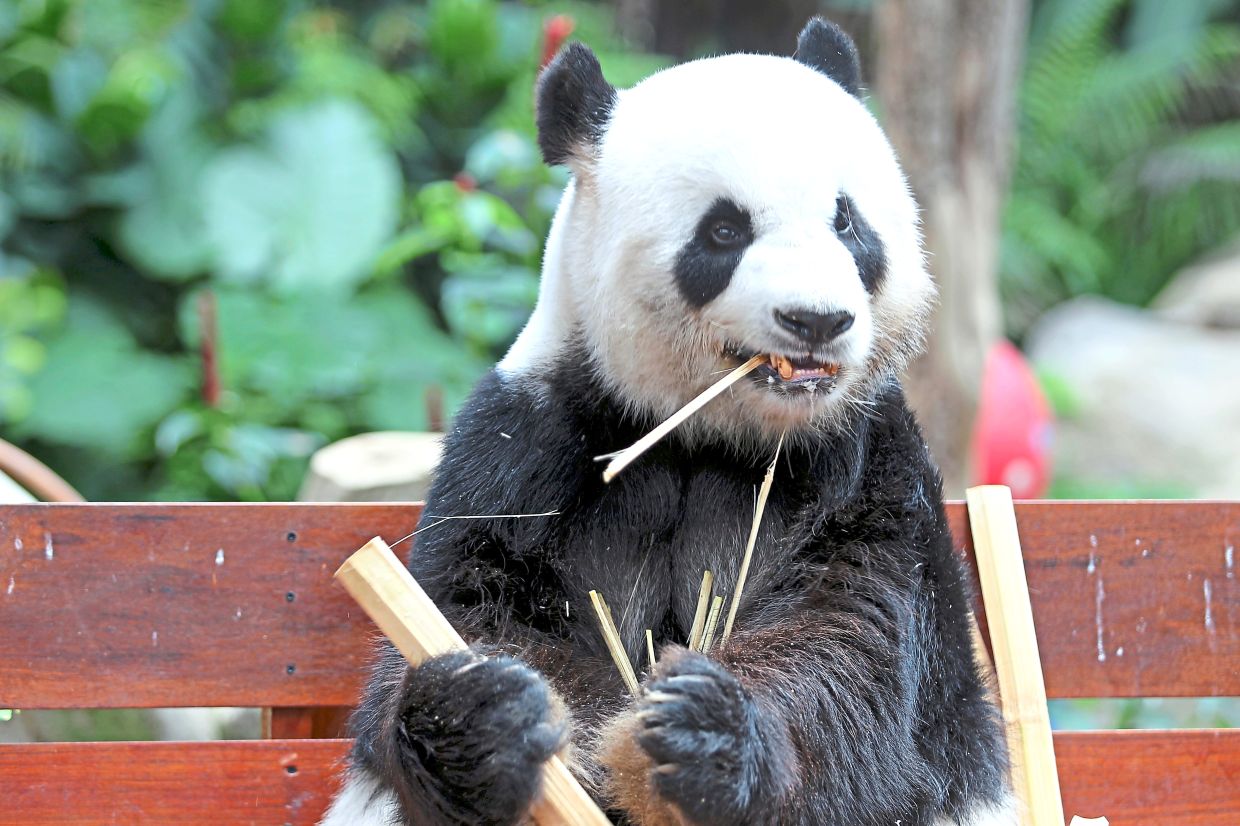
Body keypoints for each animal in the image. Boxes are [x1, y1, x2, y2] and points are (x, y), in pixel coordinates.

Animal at [323, 17, 1013, 826]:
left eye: (846, 221)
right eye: (724, 231)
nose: (816, 320)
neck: (709, 427)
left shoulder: (869, 463)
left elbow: (853, 647)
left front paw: (704, 732)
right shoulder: (529, 442)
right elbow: (474, 605)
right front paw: (483, 720)